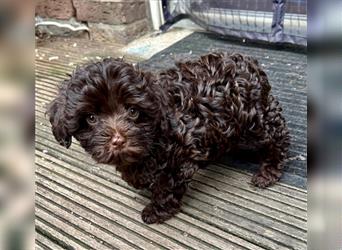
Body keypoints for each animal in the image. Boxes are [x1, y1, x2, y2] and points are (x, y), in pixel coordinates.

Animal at [47, 51, 288, 224]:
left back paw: (268, 172)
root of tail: (248, 62)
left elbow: (166, 186)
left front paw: (157, 210)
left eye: (133, 111)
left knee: (277, 136)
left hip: (256, 117)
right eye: (91, 118)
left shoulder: (180, 158)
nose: (118, 140)